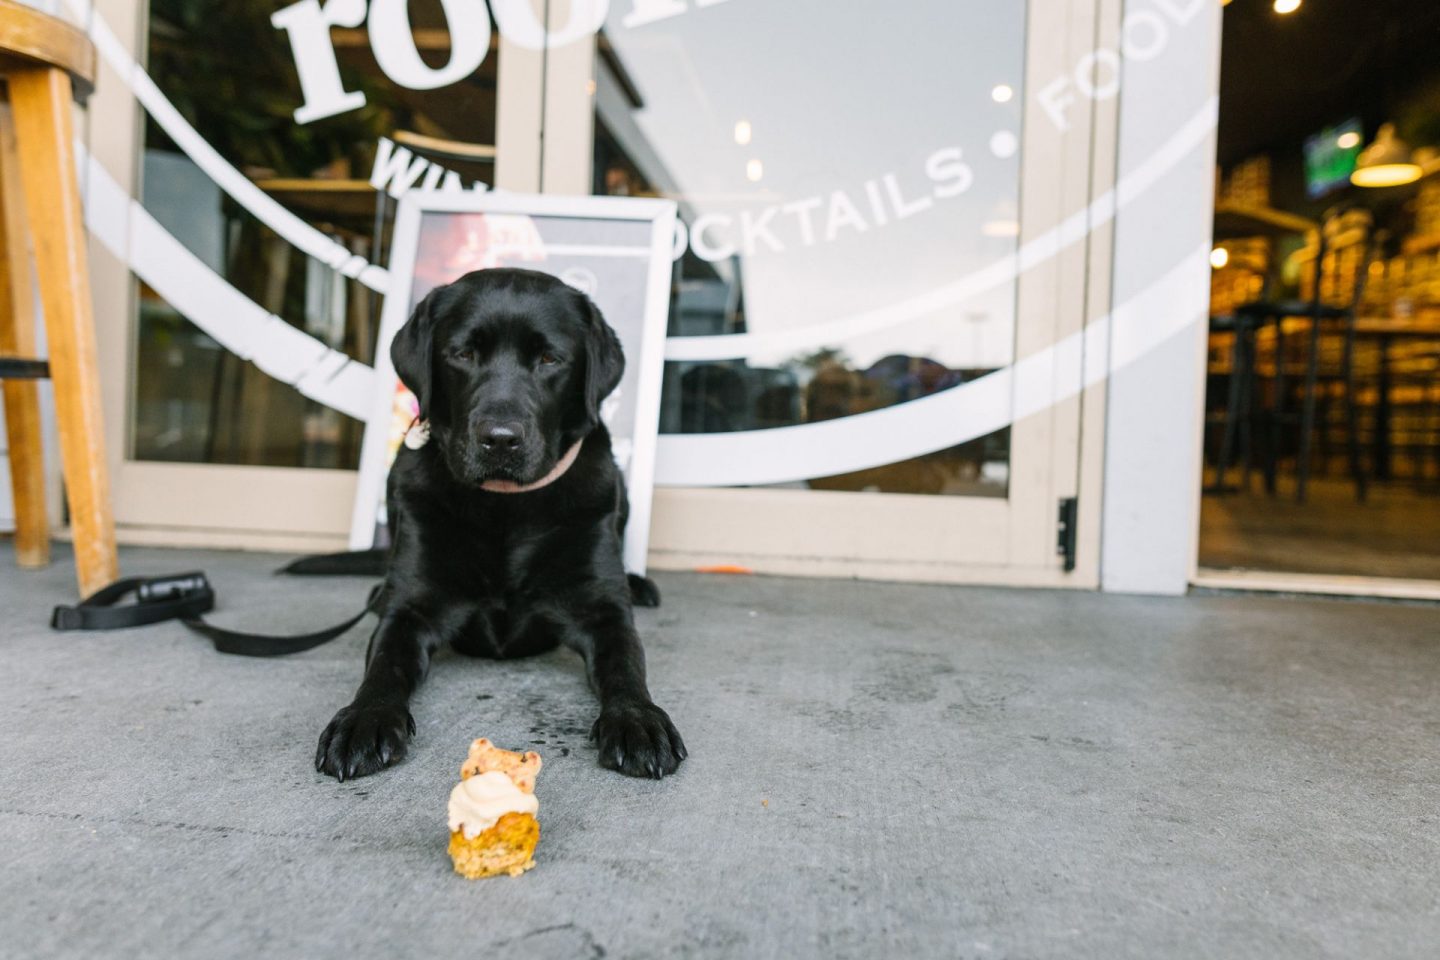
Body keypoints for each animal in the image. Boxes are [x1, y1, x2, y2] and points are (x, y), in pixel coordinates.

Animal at [318, 269, 688, 782]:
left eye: (550, 358)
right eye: (462, 354)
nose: (499, 439)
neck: (506, 507)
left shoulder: (603, 611)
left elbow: (626, 664)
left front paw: (637, 720)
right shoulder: (410, 611)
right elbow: (384, 665)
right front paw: (364, 719)